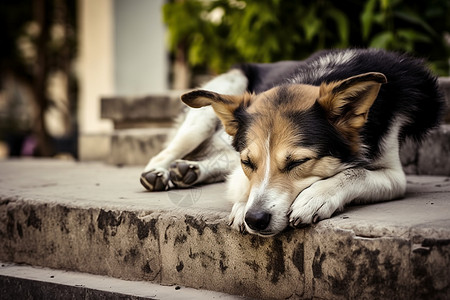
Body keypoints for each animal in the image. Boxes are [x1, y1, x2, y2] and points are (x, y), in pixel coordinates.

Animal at [140, 48, 442, 237]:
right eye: (249, 162)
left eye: (298, 162)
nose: (255, 219)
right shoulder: (241, 168)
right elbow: (242, 182)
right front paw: (243, 204)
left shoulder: (395, 174)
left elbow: (356, 172)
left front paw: (316, 197)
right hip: (216, 101)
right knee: (165, 153)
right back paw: (158, 173)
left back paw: (188, 170)